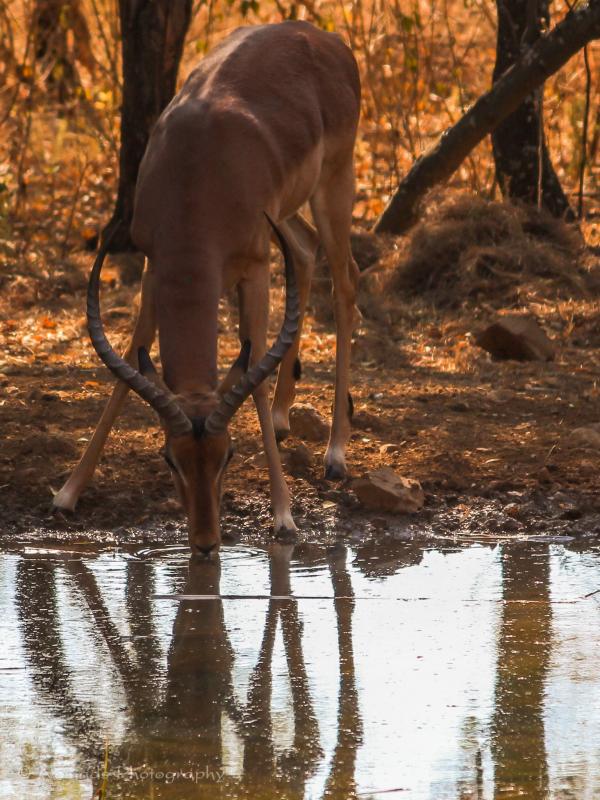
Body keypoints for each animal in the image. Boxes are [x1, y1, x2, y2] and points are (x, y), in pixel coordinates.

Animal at [53, 21, 361, 554]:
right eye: (169, 457)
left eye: (229, 454)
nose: (204, 541)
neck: (198, 176)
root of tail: (321, 37)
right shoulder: (156, 265)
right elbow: (130, 357)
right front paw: (69, 492)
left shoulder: (255, 266)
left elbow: (253, 367)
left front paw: (284, 517)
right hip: (285, 216)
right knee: (305, 251)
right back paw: (283, 418)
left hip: (333, 187)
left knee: (344, 288)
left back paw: (335, 453)